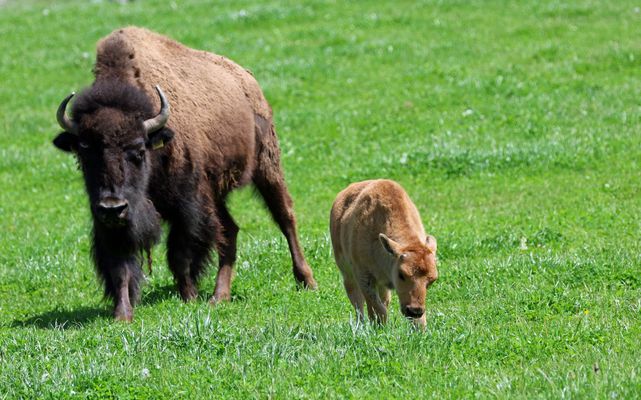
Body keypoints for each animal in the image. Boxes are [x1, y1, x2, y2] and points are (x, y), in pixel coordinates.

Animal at [53, 27, 316, 321]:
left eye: (139, 150)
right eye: (84, 152)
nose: (112, 206)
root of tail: (246, 79)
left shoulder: (187, 205)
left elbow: (180, 253)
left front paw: (188, 297)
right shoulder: (110, 223)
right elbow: (120, 266)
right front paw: (123, 314)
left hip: (266, 166)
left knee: (285, 217)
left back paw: (306, 281)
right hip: (216, 193)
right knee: (230, 230)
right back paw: (219, 296)